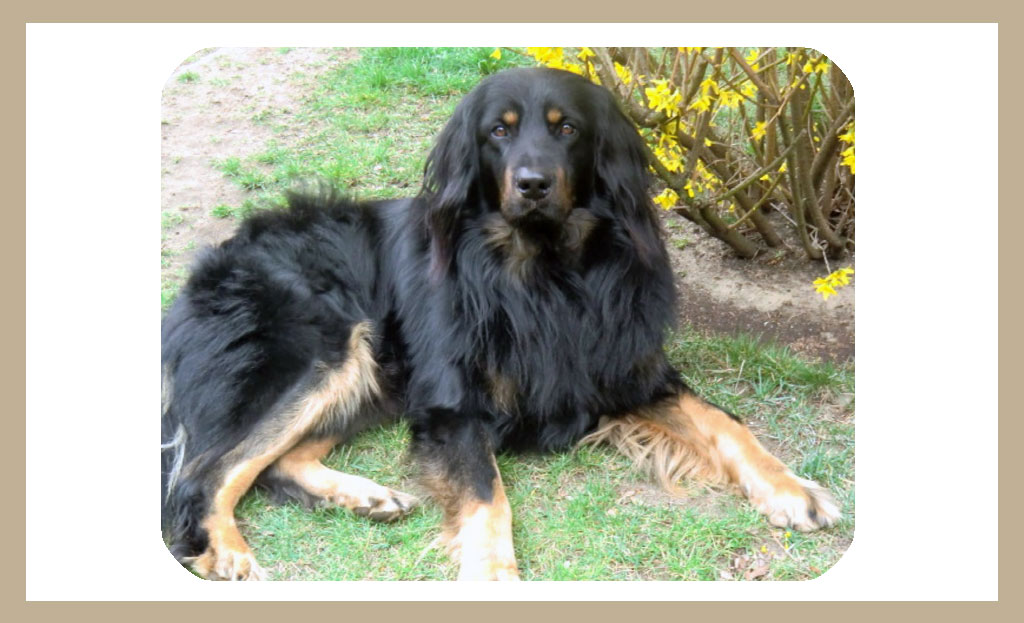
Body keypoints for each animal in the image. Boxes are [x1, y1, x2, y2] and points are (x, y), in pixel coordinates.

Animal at [161, 66, 840, 581]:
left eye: (567, 128)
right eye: (498, 132)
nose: (533, 183)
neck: (544, 271)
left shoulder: (628, 370)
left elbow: (727, 423)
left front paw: (791, 489)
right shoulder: (452, 405)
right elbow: (489, 497)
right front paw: (492, 578)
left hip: (370, 375)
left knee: (272, 463)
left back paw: (365, 496)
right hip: (326, 350)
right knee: (203, 473)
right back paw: (225, 551)